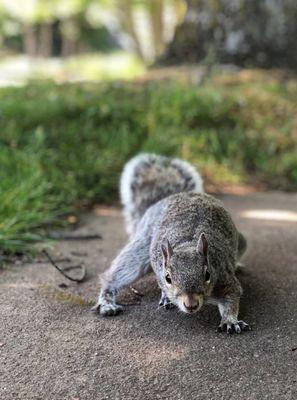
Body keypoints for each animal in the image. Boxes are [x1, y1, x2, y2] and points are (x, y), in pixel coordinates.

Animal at [91, 153, 249, 334]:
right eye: (168, 278)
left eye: (207, 274)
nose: (191, 305)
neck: (187, 244)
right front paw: (166, 296)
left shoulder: (224, 279)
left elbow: (232, 299)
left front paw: (230, 320)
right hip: (142, 247)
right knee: (117, 274)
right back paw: (107, 303)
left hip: (241, 242)